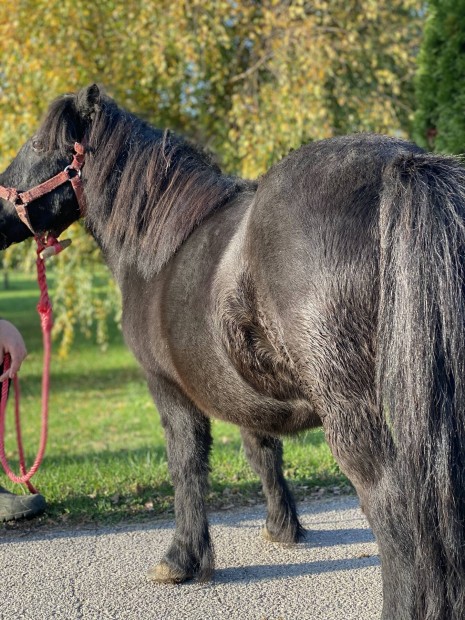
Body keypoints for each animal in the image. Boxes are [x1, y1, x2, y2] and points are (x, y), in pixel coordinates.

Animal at [0, 83, 464, 620]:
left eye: (38, 145)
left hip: (351, 408)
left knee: (393, 510)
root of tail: (402, 164)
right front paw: (283, 528)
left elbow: (187, 467)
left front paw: (181, 559)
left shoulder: (169, 390)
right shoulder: (243, 390)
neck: (157, 251)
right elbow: (263, 453)